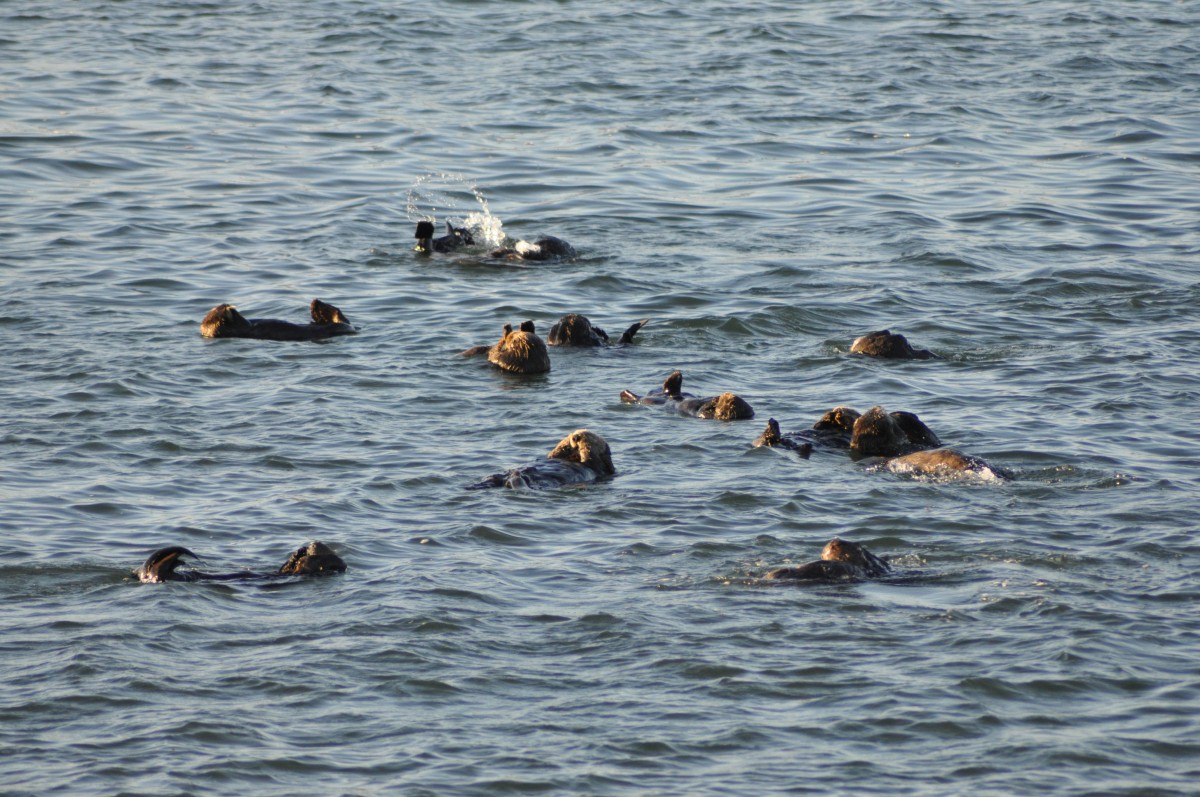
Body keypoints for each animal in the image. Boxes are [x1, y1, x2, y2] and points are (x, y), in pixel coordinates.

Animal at [467, 429, 615, 489]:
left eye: (590, 437)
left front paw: (584, 442)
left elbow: (591, 454)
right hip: (493, 477)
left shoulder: (596, 465)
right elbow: (554, 454)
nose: (575, 437)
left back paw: (516, 478)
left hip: (541, 483)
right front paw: (566, 442)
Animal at [620, 370, 754, 420]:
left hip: (647, 399)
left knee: (637, 398)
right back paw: (677, 376)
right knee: (668, 390)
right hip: (661, 393)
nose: (726, 395)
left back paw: (626, 393)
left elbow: (704, 409)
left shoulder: (705, 414)